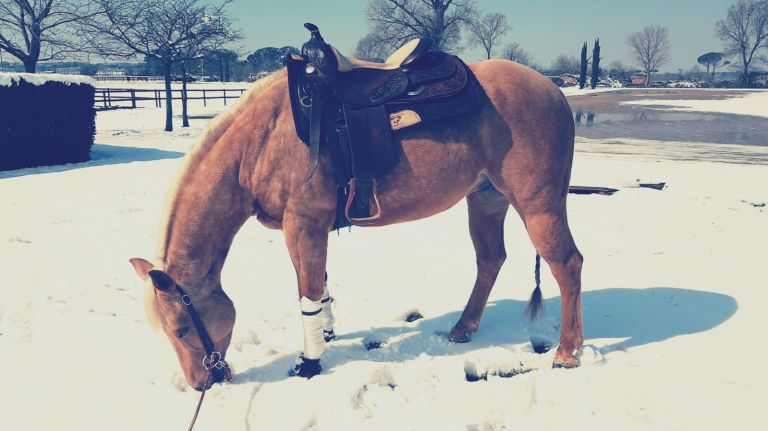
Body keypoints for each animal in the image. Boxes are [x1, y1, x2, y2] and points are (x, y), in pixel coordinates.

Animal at [129, 59, 583, 390]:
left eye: (180, 328)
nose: (201, 383)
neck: (260, 143)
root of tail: (553, 91)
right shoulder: (310, 230)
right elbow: (318, 285)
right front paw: (327, 334)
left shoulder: (304, 224)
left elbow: (308, 293)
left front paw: (309, 362)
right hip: (486, 198)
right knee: (490, 260)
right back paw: (463, 328)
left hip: (537, 204)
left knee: (567, 264)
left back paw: (567, 352)